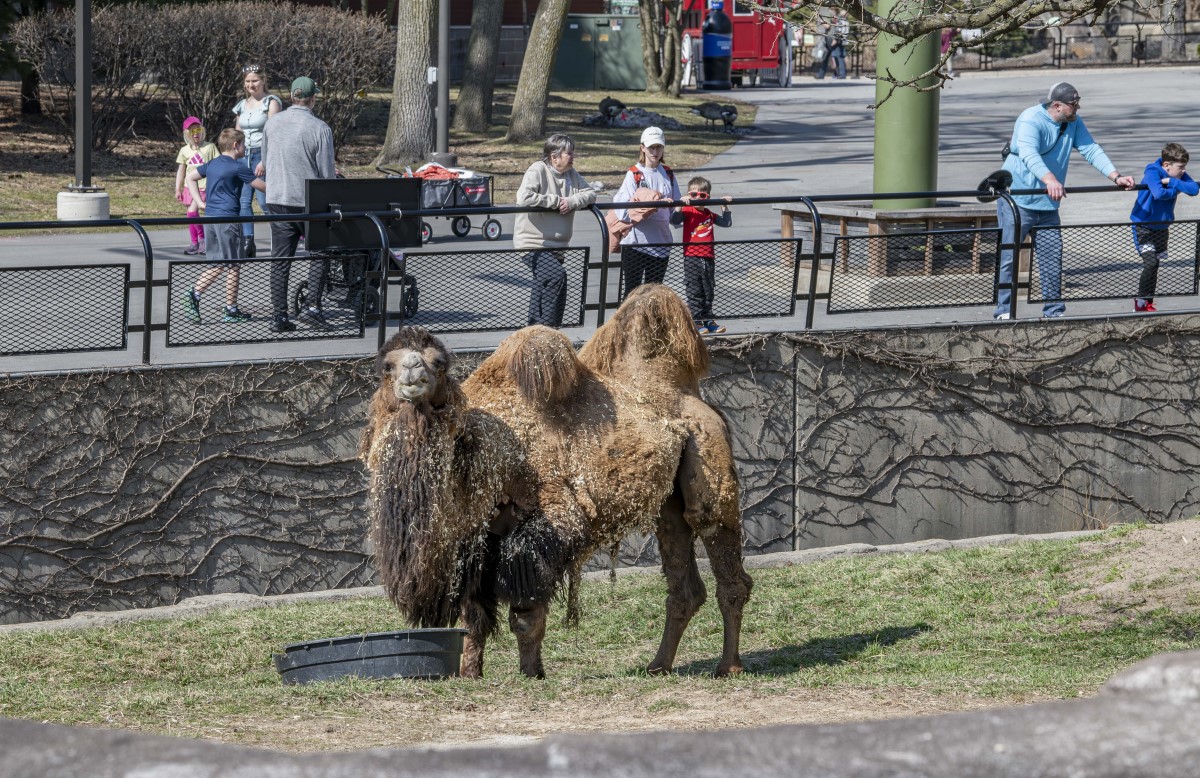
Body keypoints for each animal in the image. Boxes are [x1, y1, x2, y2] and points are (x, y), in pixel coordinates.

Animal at [360, 284, 752, 679]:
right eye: (387, 366)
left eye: (439, 363)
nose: (413, 373)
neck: (479, 447)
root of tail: (694, 396)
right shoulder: (474, 540)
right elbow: (473, 618)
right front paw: (470, 674)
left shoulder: (545, 524)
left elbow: (525, 613)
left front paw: (532, 673)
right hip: (668, 502)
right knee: (682, 577)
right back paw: (658, 665)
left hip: (709, 453)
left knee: (723, 554)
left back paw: (728, 666)